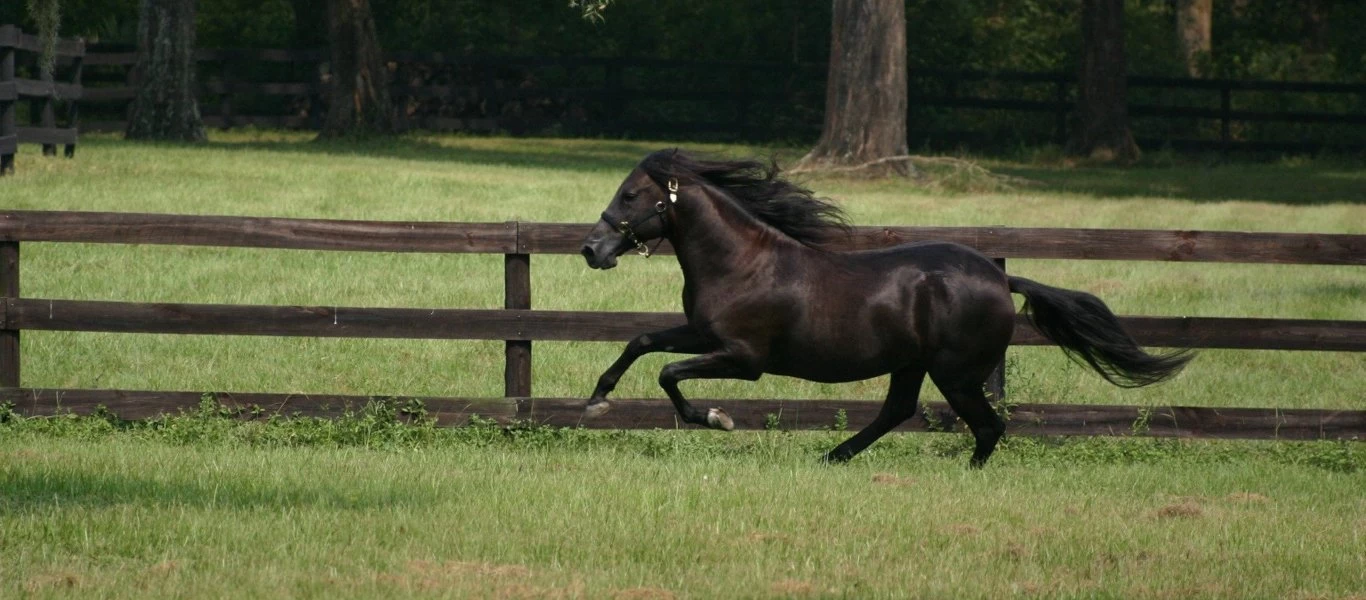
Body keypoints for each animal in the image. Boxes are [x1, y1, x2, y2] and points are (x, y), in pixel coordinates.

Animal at [576, 150, 1185, 470]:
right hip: (912, 364)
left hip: (955, 373)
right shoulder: (703, 334)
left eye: (630, 195)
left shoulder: (743, 358)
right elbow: (641, 343)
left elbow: (667, 372)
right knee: (899, 410)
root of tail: (1001, 276)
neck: (743, 263)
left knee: (989, 424)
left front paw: (716, 418)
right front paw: (597, 400)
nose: (591, 250)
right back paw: (834, 457)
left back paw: (964, 473)